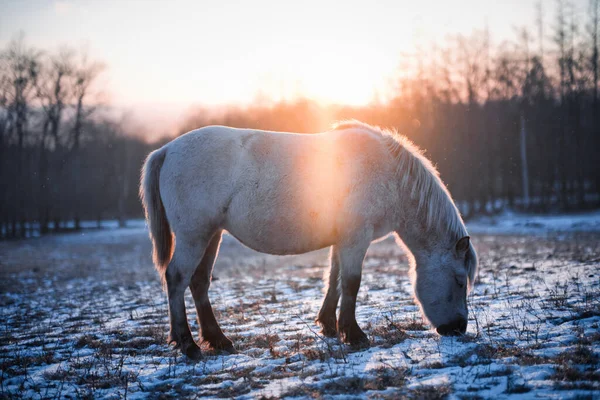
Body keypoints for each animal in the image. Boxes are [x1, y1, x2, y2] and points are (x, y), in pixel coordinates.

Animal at [139, 120, 478, 360]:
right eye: (459, 281)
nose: (458, 329)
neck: (389, 174)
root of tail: (166, 150)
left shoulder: (343, 240)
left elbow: (334, 280)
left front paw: (329, 325)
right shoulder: (356, 238)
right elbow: (351, 283)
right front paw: (354, 334)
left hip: (211, 235)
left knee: (199, 282)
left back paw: (218, 340)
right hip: (193, 237)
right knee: (176, 278)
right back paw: (188, 344)